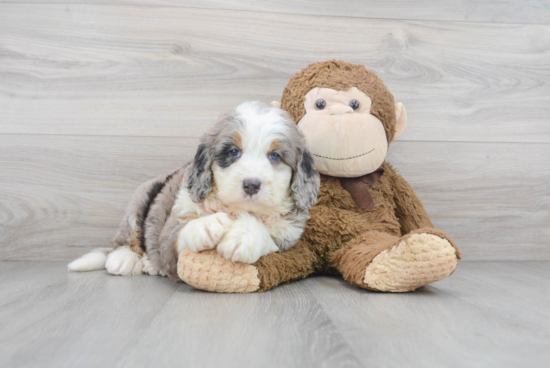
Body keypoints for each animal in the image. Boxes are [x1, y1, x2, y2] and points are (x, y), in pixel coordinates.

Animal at [69, 102, 322, 280]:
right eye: (233, 152)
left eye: (275, 156)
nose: (251, 184)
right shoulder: (175, 219)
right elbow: (180, 233)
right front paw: (208, 226)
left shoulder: (288, 239)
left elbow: (265, 232)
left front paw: (242, 236)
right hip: (140, 199)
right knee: (127, 237)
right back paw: (125, 259)